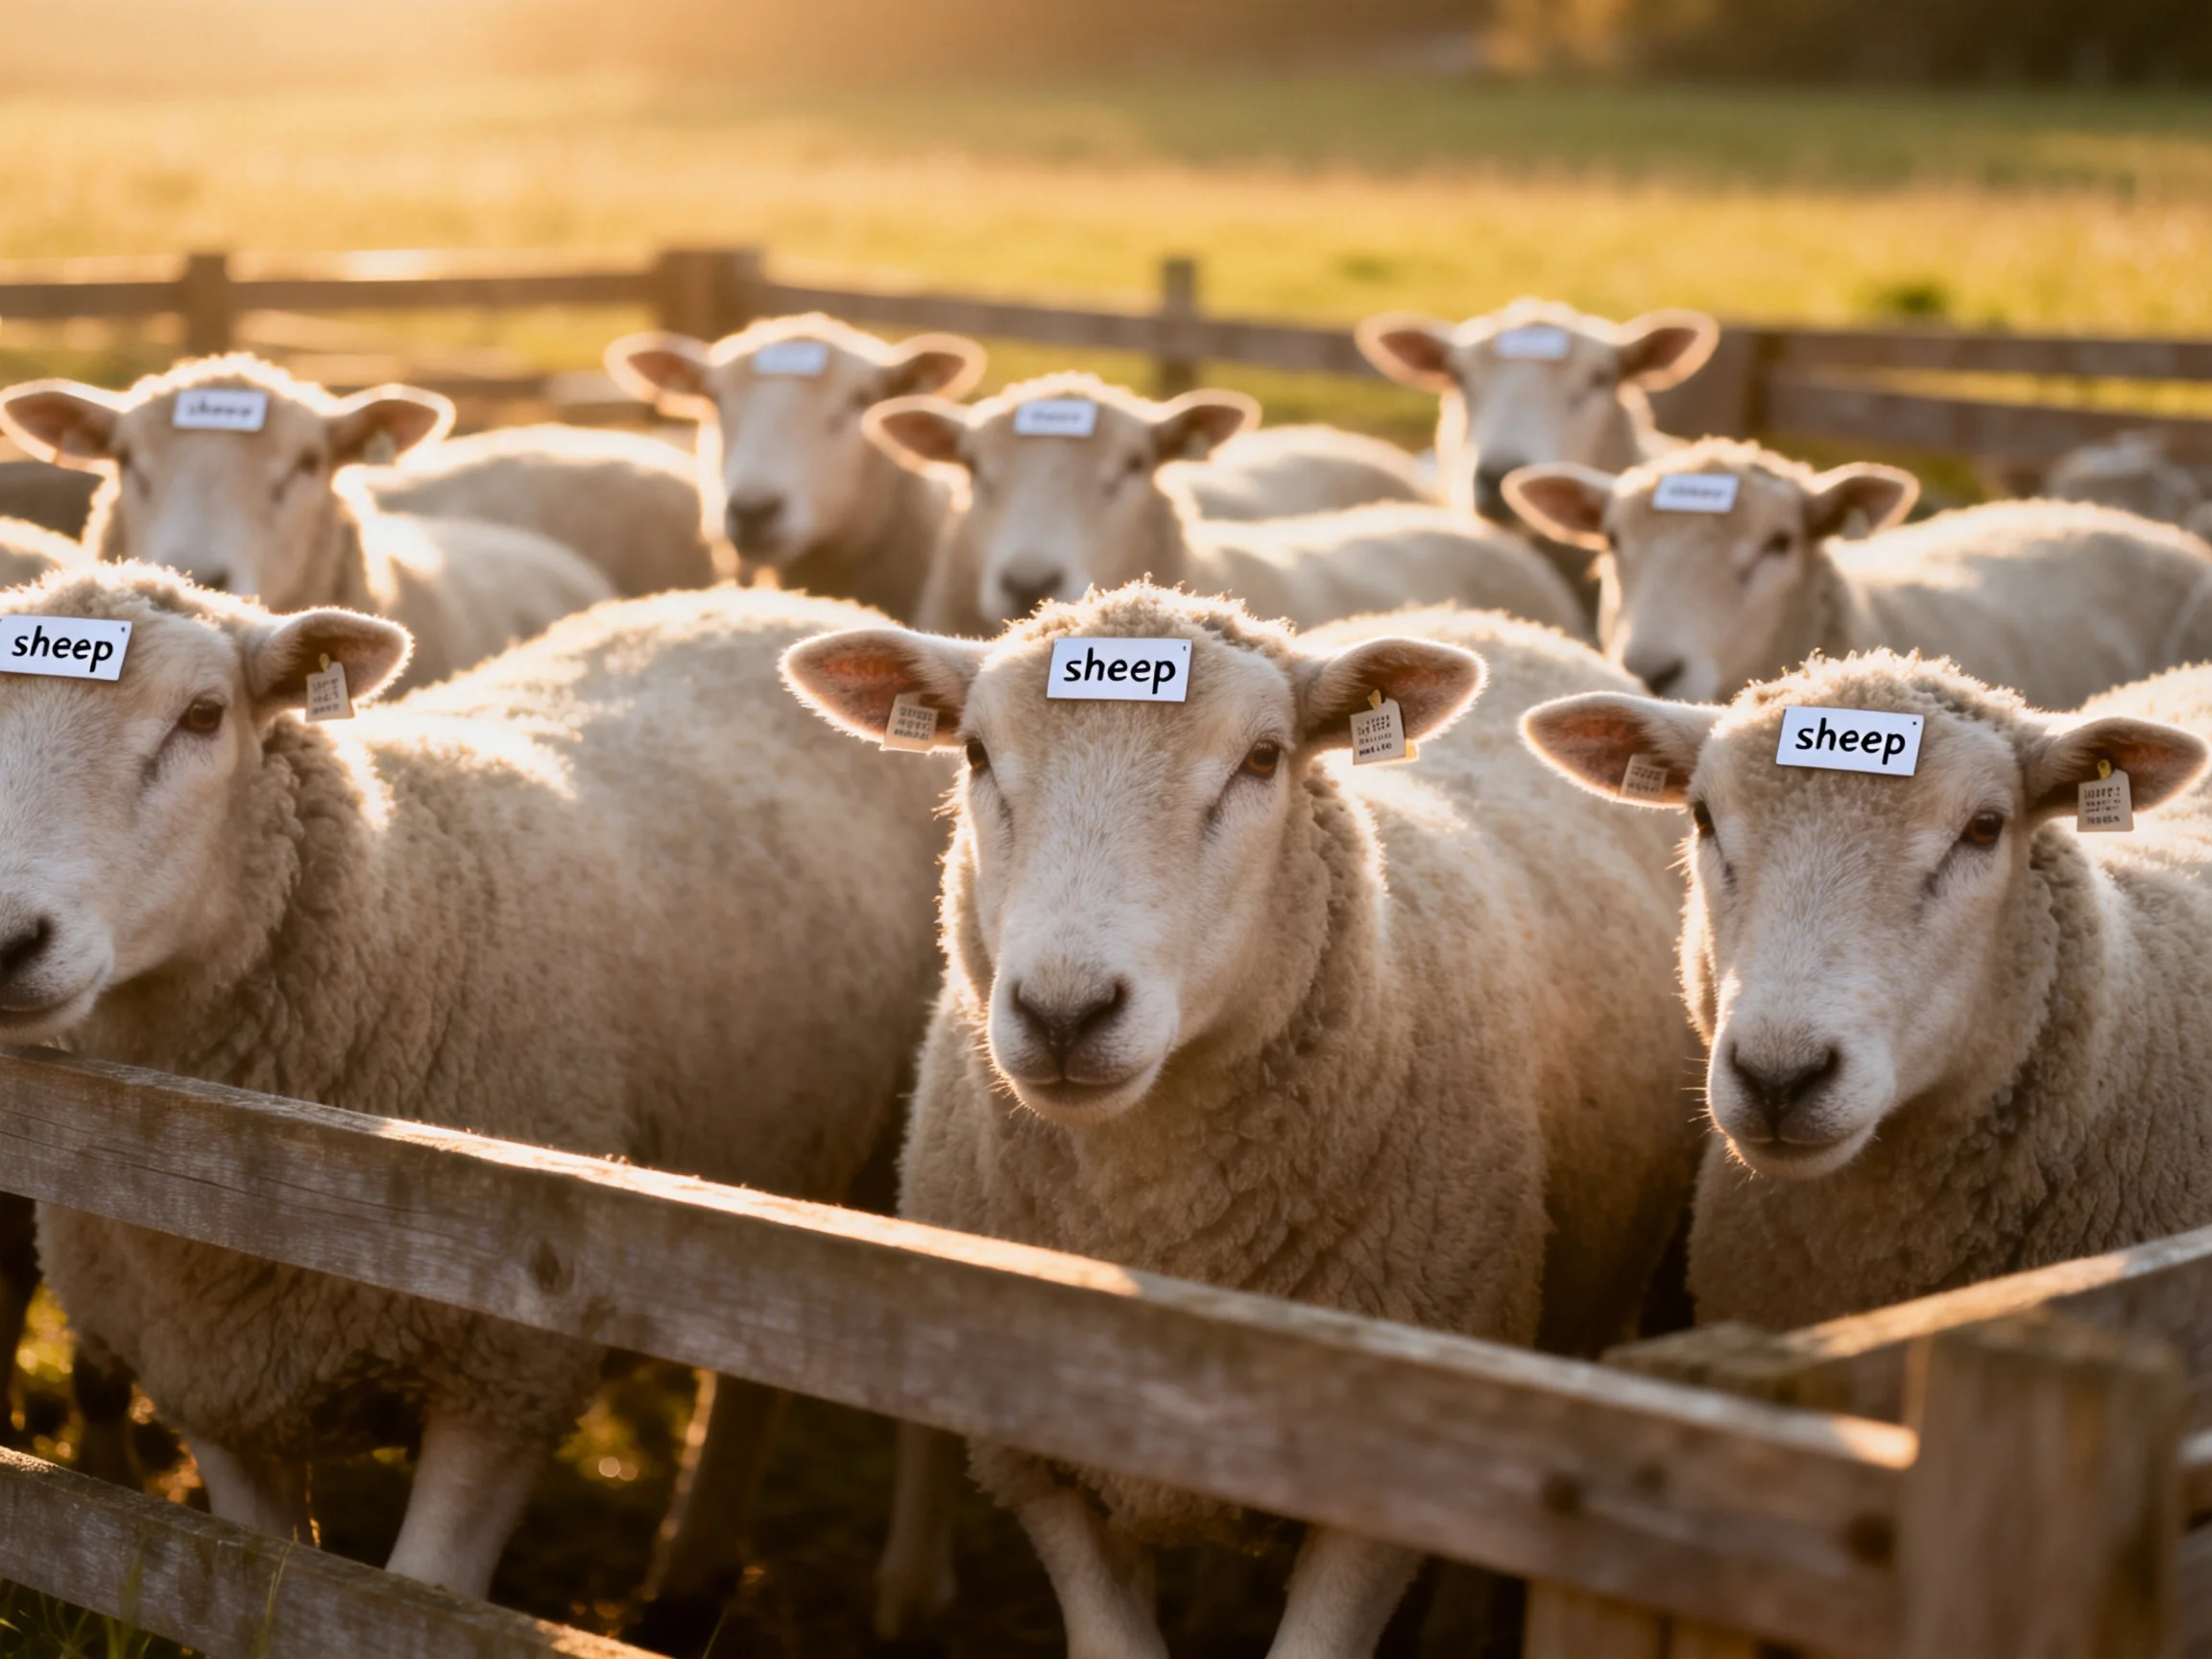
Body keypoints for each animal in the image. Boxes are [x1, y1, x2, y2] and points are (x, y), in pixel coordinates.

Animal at [2, 565, 949, 1601]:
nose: (6, 938)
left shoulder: (505, 1375)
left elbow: (424, 1598)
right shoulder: (213, 1390)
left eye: (204, 715)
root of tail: (779, 597)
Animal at [783, 584, 1703, 1656]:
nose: (1064, 1015)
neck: (1160, 1227)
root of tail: (1482, 614)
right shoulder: (1046, 1469)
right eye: (972, 753)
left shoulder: (1385, 1483)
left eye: (1263, 758)